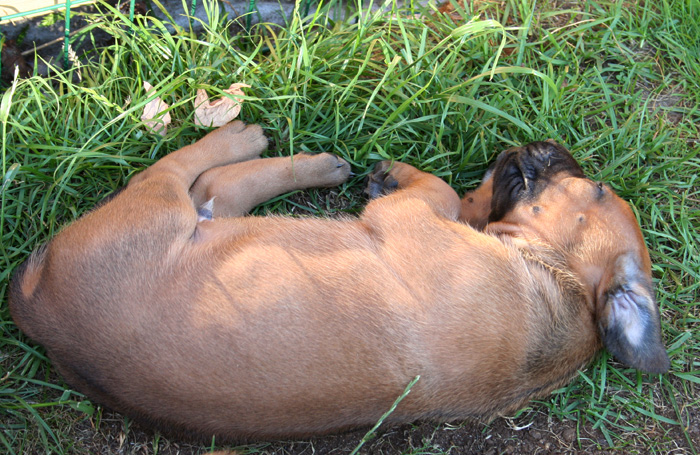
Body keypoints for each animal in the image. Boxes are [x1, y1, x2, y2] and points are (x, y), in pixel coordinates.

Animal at [9, 123, 668, 444]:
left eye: (596, 191)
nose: (549, 145)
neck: (558, 276)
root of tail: (38, 313)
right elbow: (459, 194)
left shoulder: (413, 217)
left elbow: (443, 191)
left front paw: (394, 174)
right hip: (198, 220)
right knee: (215, 189)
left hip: (154, 210)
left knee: (185, 172)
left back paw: (249, 138)